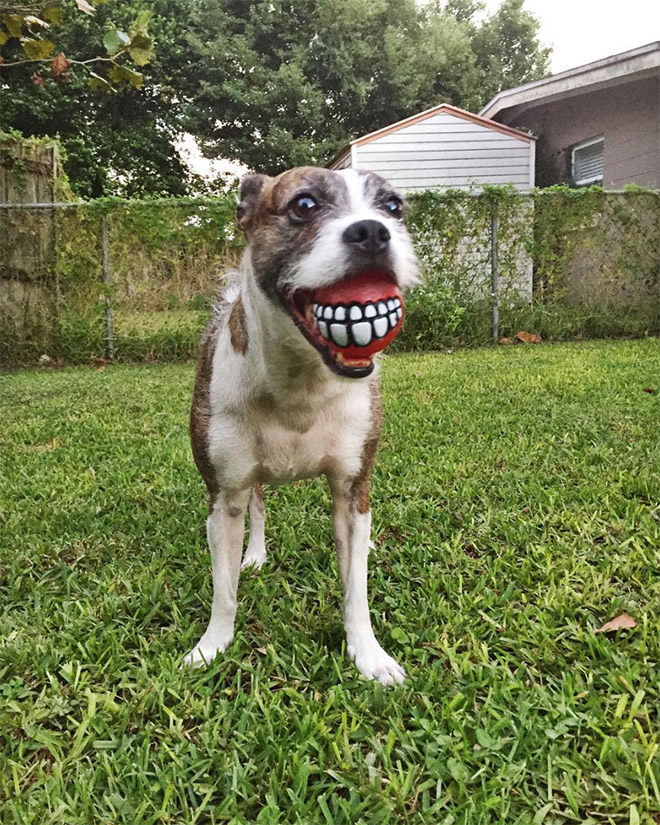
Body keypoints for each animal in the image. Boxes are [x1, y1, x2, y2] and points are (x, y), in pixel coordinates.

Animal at [184, 166, 418, 684]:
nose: (372, 231)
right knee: (257, 508)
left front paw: (367, 654)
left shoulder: (352, 492)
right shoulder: (223, 496)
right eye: (304, 205)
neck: (300, 383)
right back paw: (254, 556)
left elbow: (356, 590)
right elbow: (223, 591)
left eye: (393, 206)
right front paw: (211, 647)